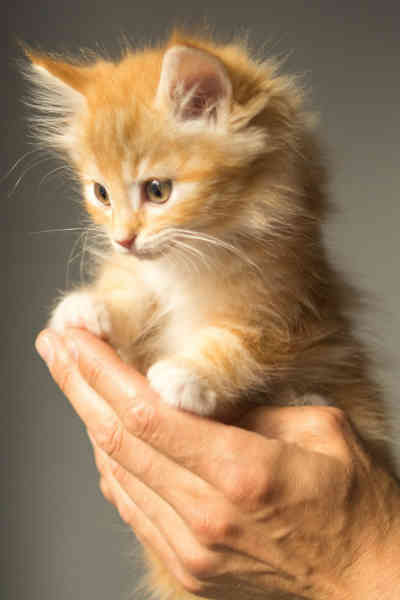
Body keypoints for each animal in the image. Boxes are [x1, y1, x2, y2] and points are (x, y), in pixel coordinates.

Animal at [24, 30, 394, 600]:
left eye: (157, 190)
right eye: (100, 193)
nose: (123, 238)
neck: (196, 258)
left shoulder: (286, 313)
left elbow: (236, 346)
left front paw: (187, 377)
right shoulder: (150, 286)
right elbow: (133, 295)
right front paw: (88, 305)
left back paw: (303, 397)